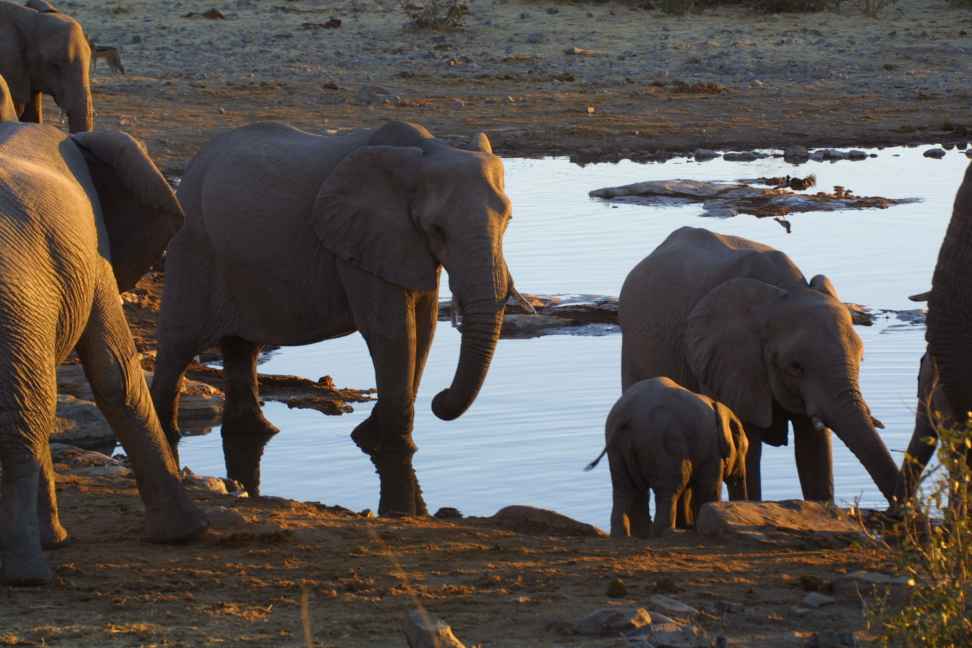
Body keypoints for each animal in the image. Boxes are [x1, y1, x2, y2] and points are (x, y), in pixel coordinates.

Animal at [0, 123, 207, 588]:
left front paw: (57, 541)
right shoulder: (95, 253)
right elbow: (116, 375)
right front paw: (187, 534)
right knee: (26, 411)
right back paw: (25, 576)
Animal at [152, 120, 528, 516]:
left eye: (508, 220)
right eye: (437, 229)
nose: (439, 400)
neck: (423, 154)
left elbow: (423, 329)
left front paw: (370, 436)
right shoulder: (363, 242)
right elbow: (392, 331)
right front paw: (387, 445)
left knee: (242, 348)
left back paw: (257, 432)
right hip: (194, 243)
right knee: (179, 343)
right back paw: (167, 432)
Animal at [584, 374, 752, 536]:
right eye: (744, 452)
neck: (718, 406)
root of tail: (627, 416)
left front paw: (689, 526)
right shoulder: (711, 449)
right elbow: (708, 486)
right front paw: (692, 526)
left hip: (617, 446)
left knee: (625, 488)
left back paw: (630, 535)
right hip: (662, 443)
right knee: (671, 487)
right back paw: (666, 532)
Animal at [620, 225, 900, 504]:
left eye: (861, 359)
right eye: (795, 367)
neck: (784, 291)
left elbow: (814, 449)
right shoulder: (729, 365)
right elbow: (747, 445)